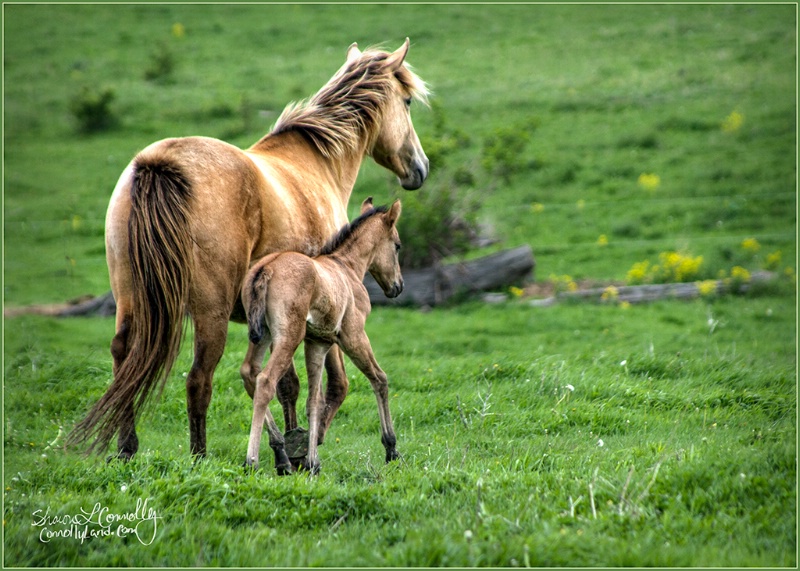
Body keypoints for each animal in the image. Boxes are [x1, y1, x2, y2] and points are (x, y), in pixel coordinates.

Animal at [241, 199, 404, 476]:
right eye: (397, 245)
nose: (398, 286)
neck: (346, 267)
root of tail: (266, 268)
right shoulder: (353, 335)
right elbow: (380, 379)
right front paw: (391, 449)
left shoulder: (317, 342)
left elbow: (314, 401)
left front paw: (313, 462)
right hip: (289, 336)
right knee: (265, 380)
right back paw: (253, 460)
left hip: (263, 336)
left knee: (249, 372)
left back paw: (281, 452)